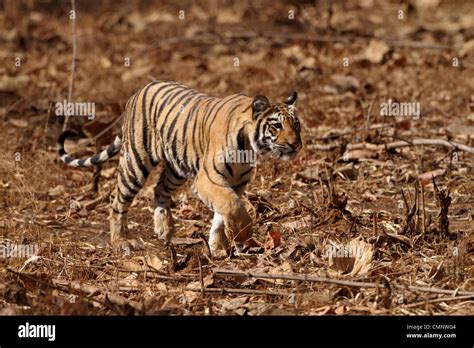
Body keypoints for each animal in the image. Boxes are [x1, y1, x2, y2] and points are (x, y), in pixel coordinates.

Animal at [57, 81, 302, 256]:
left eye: (297, 124)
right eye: (276, 125)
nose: (295, 144)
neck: (249, 147)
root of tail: (138, 92)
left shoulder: (236, 183)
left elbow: (221, 213)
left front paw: (217, 246)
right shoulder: (208, 179)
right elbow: (232, 206)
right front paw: (242, 236)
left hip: (176, 167)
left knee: (158, 190)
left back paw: (163, 229)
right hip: (135, 163)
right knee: (116, 200)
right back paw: (121, 242)